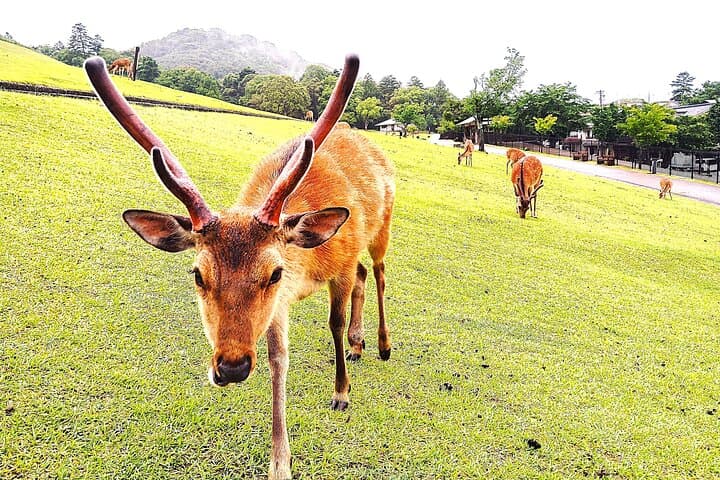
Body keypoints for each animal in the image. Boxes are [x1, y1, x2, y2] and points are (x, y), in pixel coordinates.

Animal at [84, 53, 395, 480]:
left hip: (382, 227)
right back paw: (358, 346)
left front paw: (341, 394)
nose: (230, 367)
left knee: (377, 273)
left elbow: (333, 322)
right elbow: (278, 358)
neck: (306, 268)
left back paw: (381, 345)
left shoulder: (339, 263)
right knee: (366, 275)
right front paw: (280, 463)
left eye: (274, 272)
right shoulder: (279, 305)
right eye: (198, 274)